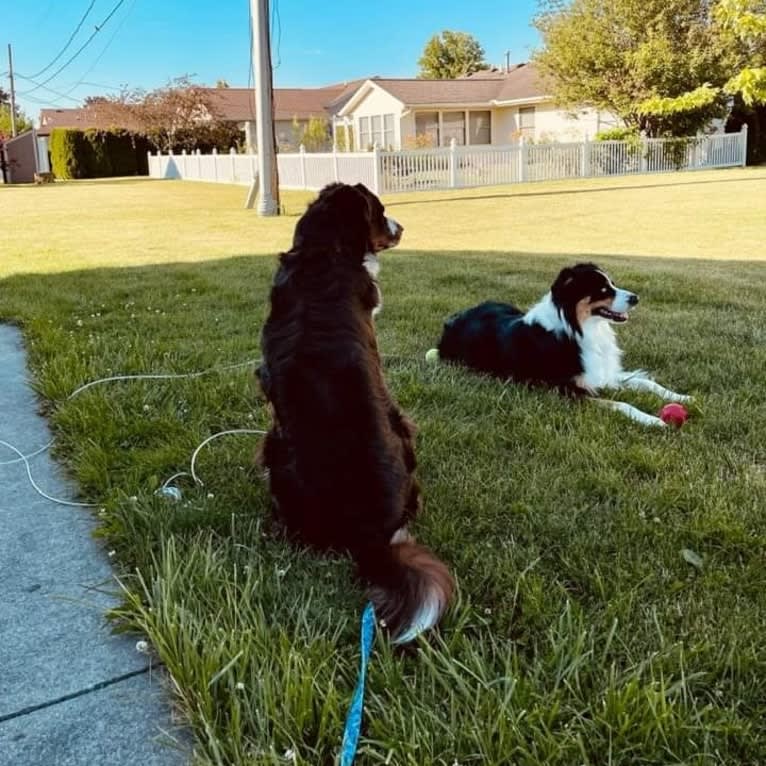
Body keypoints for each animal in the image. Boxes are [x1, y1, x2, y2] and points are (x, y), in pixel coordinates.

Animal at [258, 183, 452, 644]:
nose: (402, 227)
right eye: (380, 212)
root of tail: (370, 536)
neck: (325, 252)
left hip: (278, 448)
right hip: (401, 425)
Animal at [432, 264, 696, 428]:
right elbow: (621, 403)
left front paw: (683, 396)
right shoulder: (564, 389)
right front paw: (653, 420)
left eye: (613, 283)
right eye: (603, 289)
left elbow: (646, 382)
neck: (581, 329)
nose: (636, 298)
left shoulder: (602, 373)